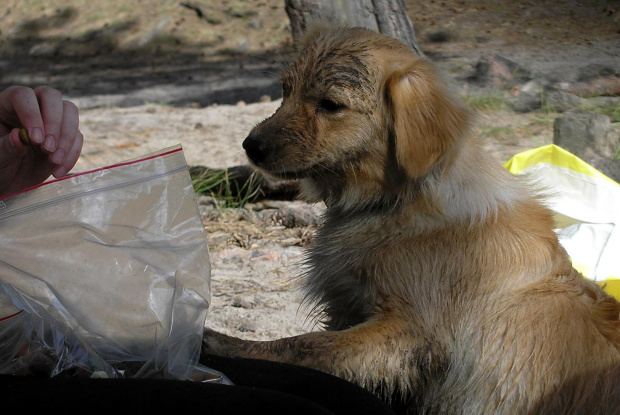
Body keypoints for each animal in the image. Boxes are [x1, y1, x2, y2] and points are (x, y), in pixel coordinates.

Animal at [201, 27, 616, 414]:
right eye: (285, 90)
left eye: (331, 105)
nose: (251, 146)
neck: (398, 201)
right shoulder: (349, 310)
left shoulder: (408, 333)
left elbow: (302, 346)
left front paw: (222, 344)